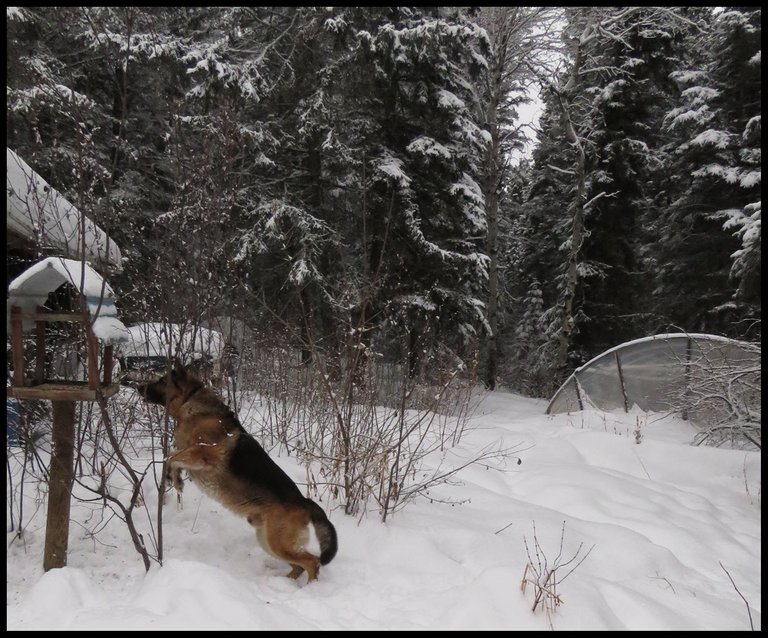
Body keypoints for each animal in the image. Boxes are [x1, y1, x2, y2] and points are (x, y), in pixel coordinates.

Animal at [134, 360, 336, 584]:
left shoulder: (202, 455)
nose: (137, 387)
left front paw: (175, 480)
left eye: (162, 381)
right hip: (268, 541)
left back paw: (309, 587)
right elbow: (172, 456)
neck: (192, 403)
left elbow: (171, 456)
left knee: (312, 562)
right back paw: (287, 583)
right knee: (299, 566)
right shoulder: (192, 456)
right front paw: (175, 478)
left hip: (277, 543)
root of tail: (305, 502)